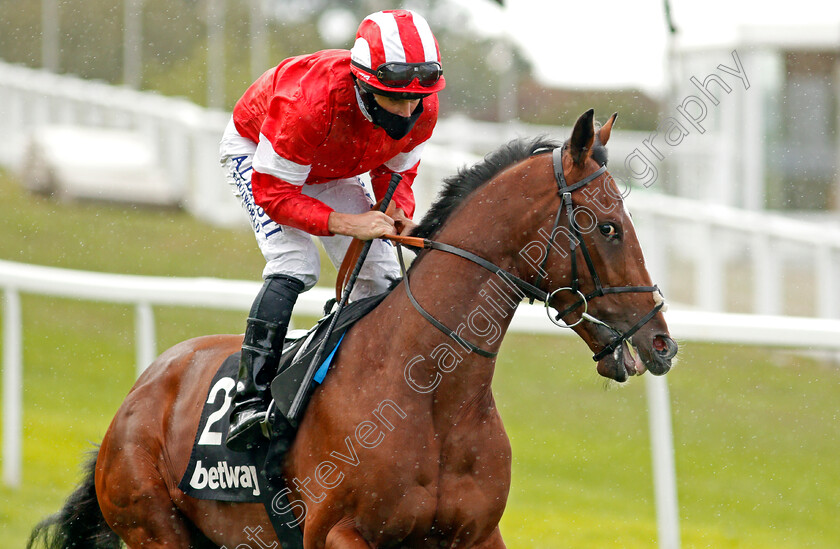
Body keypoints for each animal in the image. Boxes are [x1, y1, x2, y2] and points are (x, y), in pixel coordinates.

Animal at [29, 108, 680, 548]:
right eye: (607, 227)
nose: (661, 342)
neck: (429, 391)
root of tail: (137, 395)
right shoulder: (340, 534)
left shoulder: (476, 535)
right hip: (157, 530)